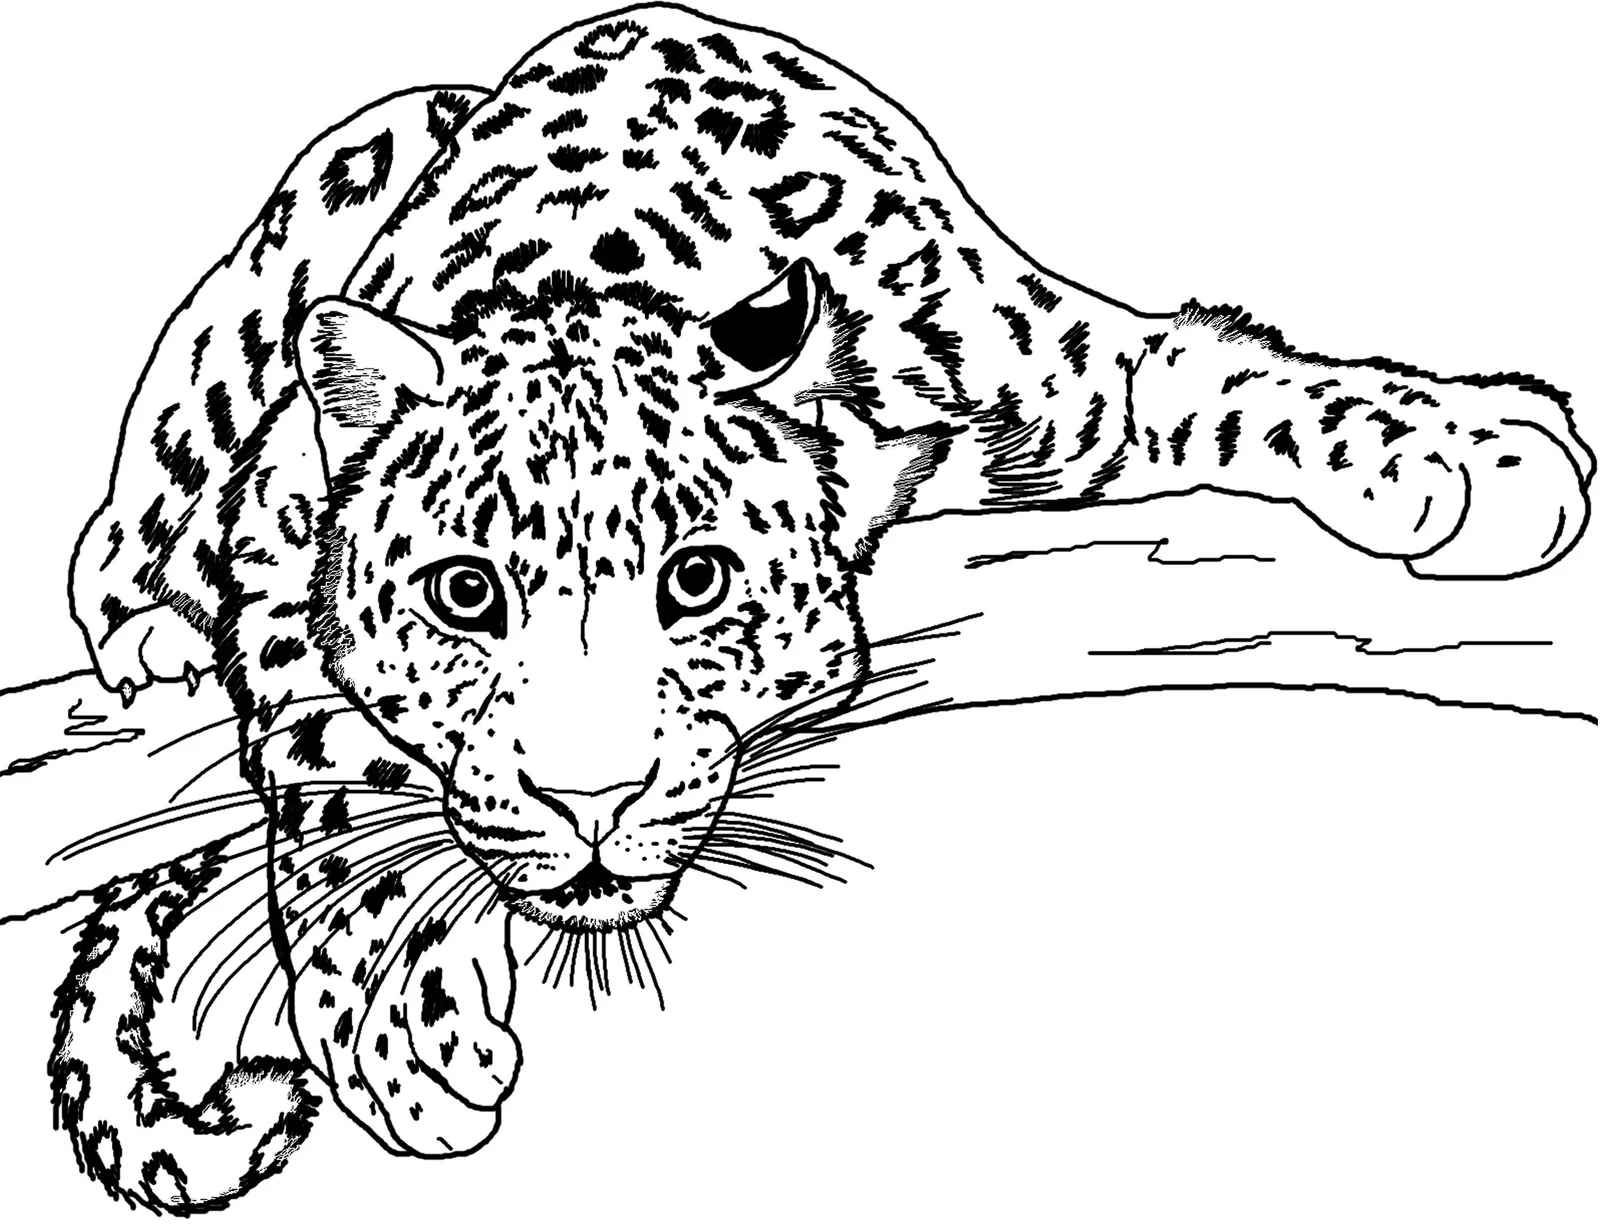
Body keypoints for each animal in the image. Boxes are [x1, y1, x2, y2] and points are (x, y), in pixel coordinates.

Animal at [50, 2, 1592, 1213]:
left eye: (695, 580)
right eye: (465, 594)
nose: (589, 801)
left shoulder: (1068, 371)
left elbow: (1243, 382)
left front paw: (1474, 450)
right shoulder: (277, 499)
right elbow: (323, 747)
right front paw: (403, 1021)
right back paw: (140, 623)